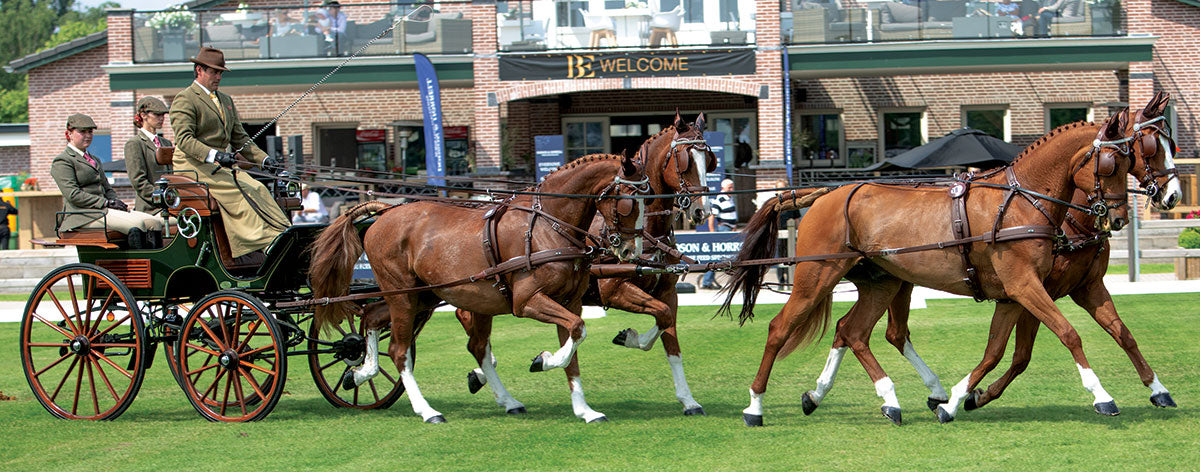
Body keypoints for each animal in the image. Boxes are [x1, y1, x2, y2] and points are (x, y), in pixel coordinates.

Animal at [308, 153, 649, 423]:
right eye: (629, 201)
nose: (630, 250)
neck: (549, 226)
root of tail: (386, 211)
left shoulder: (570, 302)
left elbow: (574, 349)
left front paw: (585, 411)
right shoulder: (527, 301)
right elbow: (577, 331)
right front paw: (544, 360)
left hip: (424, 295)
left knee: (374, 318)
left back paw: (361, 372)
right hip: (403, 296)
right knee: (400, 350)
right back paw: (427, 411)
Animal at [454, 112, 719, 417]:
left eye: (709, 159)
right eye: (686, 160)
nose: (701, 210)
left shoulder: (667, 292)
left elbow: (670, 337)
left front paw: (688, 400)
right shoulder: (615, 290)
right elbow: (660, 319)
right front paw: (628, 338)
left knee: (475, 335)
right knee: (470, 327)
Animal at [720, 111, 1136, 427]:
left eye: (1131, 161)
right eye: (1111, 164)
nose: (1118, 217)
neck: (1021, 201)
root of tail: (824, 194)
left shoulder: (1016, 293)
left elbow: (1000, 350)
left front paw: (958, 399)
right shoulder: (1024, 286)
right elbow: (1068, 335)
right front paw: (1102, 396)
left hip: (881, 283)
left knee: (853, 332)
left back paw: (875, 398)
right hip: (815, 277)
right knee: (780, 329)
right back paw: (755, 406)